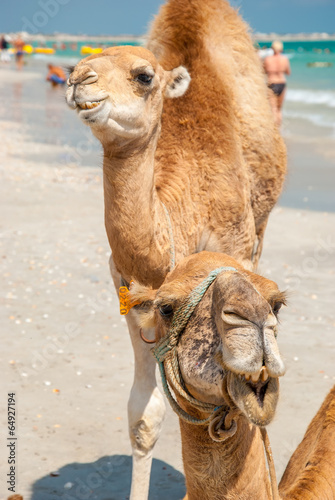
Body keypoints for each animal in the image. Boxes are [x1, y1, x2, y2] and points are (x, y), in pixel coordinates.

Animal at [66, 0, 288, 496]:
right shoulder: (135, 300)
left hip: (262, 227)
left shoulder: (237, 253)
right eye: (77, 63)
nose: (77, 79)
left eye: (143, 76)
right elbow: (143, 416)